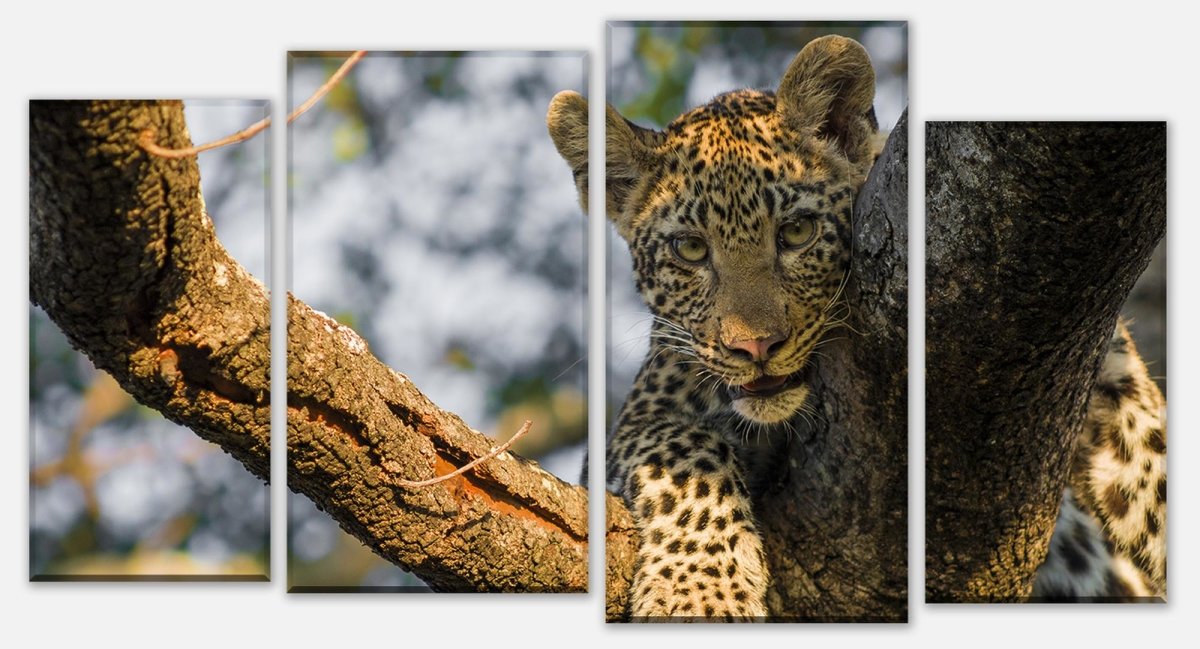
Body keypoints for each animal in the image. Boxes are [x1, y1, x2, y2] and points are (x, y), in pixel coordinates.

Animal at [546, 35, 881, 620]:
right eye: (690, 249)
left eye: (798, 232)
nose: (757, 346)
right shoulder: (630, 427)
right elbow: (685, 450)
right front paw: (702, 593)